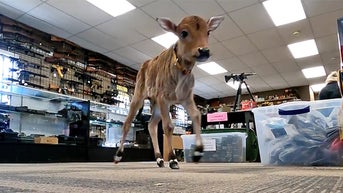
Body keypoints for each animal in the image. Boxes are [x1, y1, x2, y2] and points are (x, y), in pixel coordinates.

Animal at [114, 15, 224, 169]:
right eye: (183, 33)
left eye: (208, 32)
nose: (204, 50)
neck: (181, 71)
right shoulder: (163, 97)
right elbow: (168, 126)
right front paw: (173, 159)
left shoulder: (186, 97)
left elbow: (196, 115)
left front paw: (198, 152)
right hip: (139, 96)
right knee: (127, 123)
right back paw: (118, 156)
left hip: (156, 104)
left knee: (152, 125)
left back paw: (159, 159)